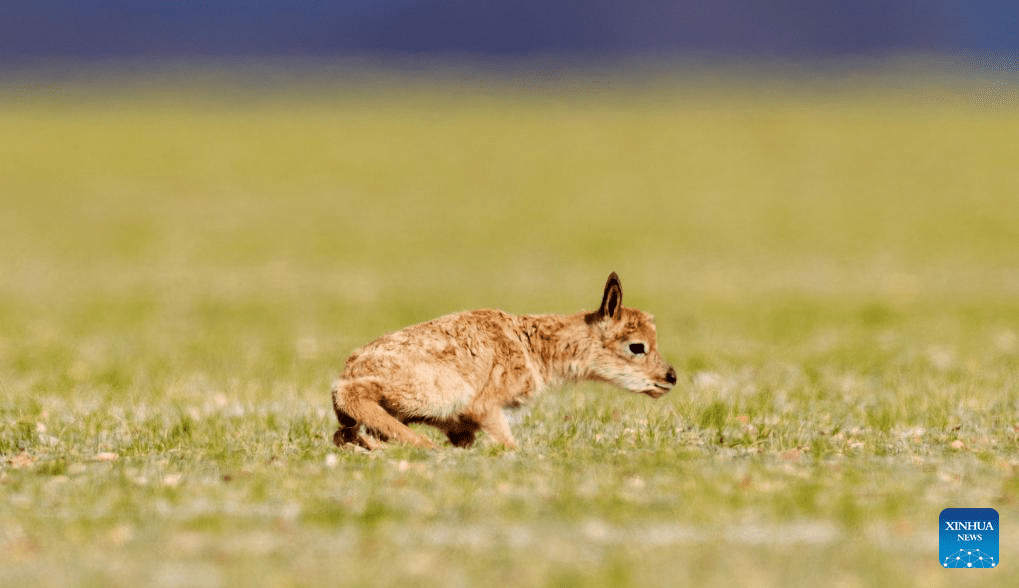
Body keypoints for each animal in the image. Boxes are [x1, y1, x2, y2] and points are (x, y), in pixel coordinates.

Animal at [328, 271, 676, 448]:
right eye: (637, 346)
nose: (670, 377)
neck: (534, 348)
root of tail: (351, 365)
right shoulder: (483, 409)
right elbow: (510, 446)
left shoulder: (462, 428)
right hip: (437, 392)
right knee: (349, 394)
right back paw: (422, 445)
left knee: (346, 430)